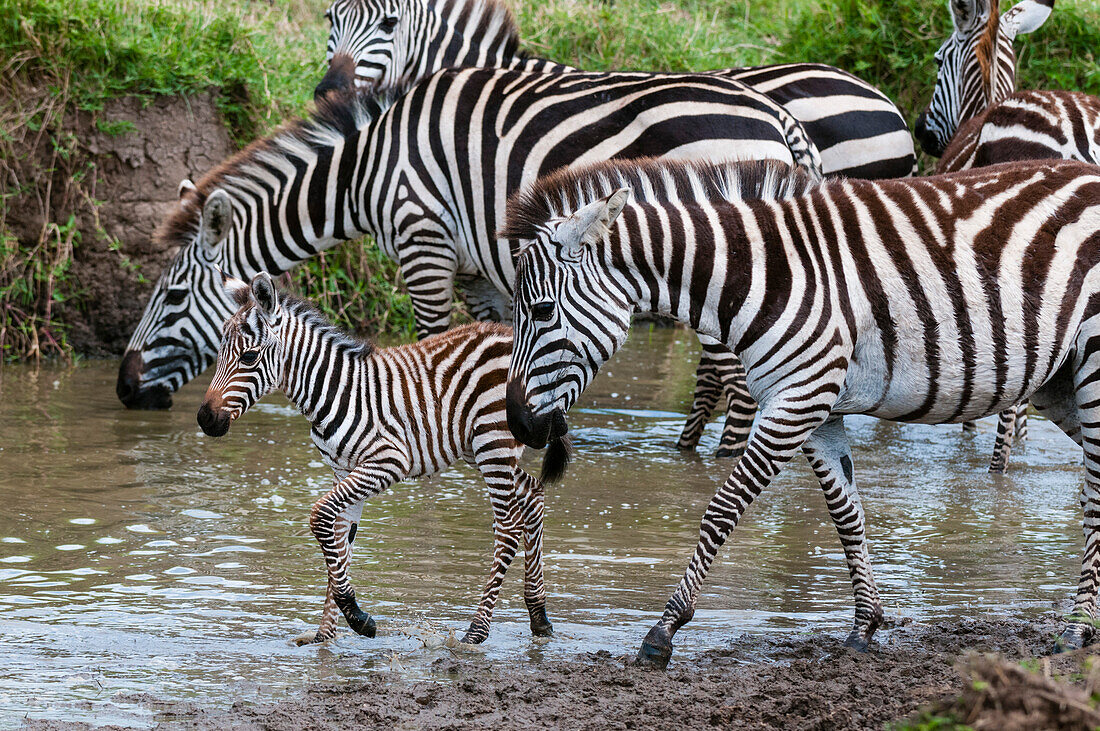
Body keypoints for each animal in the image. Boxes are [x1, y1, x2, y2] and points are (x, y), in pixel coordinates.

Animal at [118, 67, 818, 468]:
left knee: (735, 380)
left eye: (172, 298)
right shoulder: (483, 274)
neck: (364, 171)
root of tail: (778, 114)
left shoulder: (421, 240)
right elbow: (501, 351)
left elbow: (432, 344)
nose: (124, 391)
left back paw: (711, 464)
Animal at [194, 272, 567, 646]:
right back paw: (539, 616)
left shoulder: (387, 462)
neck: (332, 392)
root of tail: (512, 336)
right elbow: (337, 539)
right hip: (482, 448)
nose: (205, 420)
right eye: (218, 353)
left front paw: (357, 617)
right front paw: (327, 634)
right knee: (534, 495)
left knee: (507, 527)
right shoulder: (342, 469)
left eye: (249, 357)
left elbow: (320, 517)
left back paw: (476, 631)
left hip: (493, 443)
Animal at [503, 154, 1100, 668]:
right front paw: (864, 627)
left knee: (1094, 496)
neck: (759, 274)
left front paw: (663, 632)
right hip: (1062, 384)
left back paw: (1076, 630)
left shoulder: (798, 399)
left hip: (1092, 369)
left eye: (540, 310)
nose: (519, 425)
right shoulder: (818, 411)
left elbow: (721, 510)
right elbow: (847, 515)